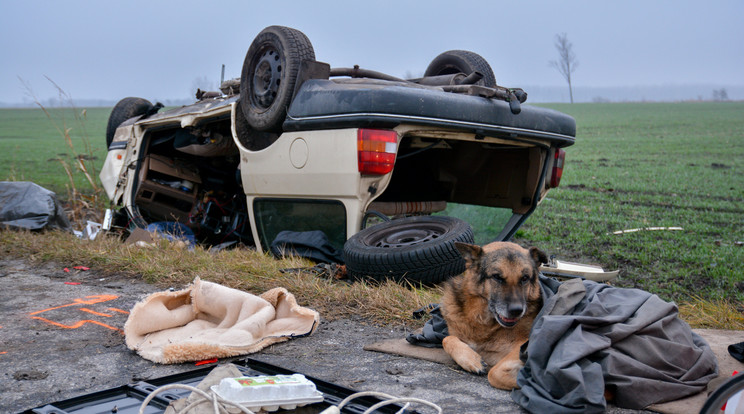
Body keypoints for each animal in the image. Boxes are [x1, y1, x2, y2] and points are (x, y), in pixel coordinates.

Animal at [442, 241, 548, 390]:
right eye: (497, 277)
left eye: (524, 278)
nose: (517, 310)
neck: (482, 321)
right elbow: (446, 339)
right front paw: (471, 359)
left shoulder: (525, 343)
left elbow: (493, 373)